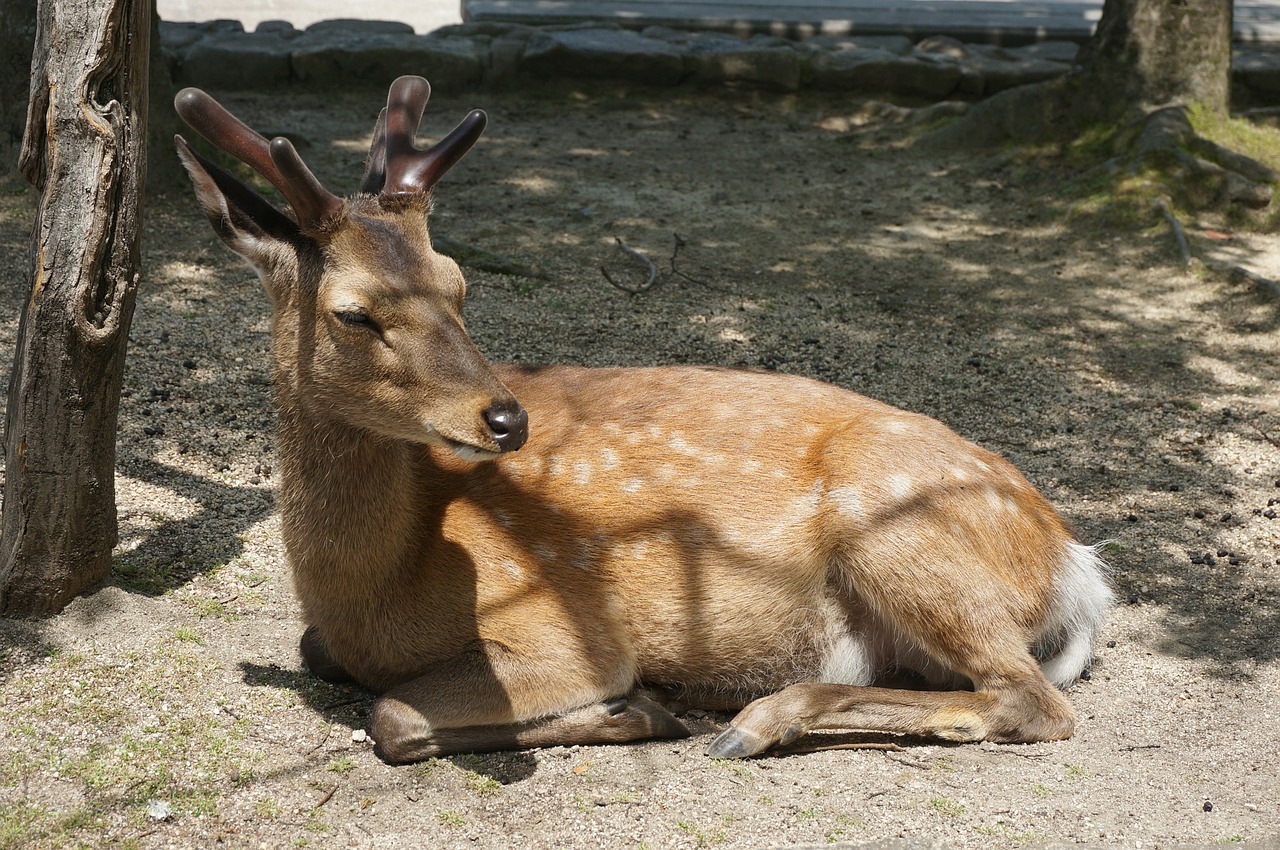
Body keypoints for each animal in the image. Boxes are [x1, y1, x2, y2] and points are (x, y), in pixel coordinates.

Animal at [175, 74, 1116, 762]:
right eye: (353, 312)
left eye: (459, 284)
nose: (506, 419)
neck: (372, 593)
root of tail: (1076, 566)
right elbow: (320, 656)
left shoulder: (567, 629)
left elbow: (396, 716)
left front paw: (639, 708)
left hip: (903, 530)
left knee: (1033, 701)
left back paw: (753, 722)